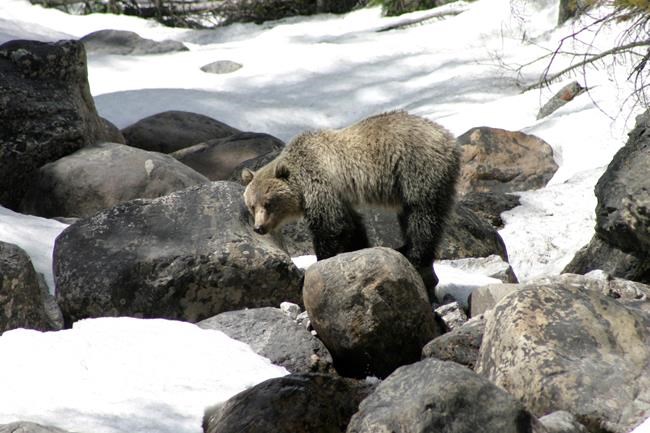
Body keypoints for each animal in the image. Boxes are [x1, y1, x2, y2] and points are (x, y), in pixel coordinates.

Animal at [241, 111, 460, 299]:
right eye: (252, 205)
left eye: (268, 203)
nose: (259, 227)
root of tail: (449, 138)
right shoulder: (341, 196)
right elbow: (351, 226)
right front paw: (358, 249)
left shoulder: (321, 184)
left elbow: (330, 226)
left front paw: (318, 262)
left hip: (416, 169)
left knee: (422, 216)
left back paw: (414, 254)